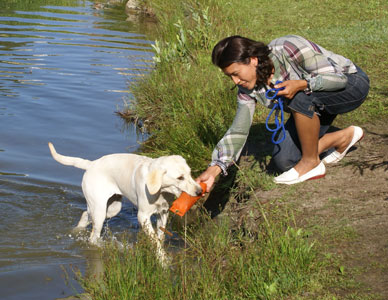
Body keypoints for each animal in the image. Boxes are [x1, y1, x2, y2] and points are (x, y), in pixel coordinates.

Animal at [47, 143, 203, 258]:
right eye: (180, 177)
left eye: (190, 173)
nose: (200, 191)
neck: (161, 191)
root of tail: (91, 164)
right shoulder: (143, 216)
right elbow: (154, 240)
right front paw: (162, 259)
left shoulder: (163, 213)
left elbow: (161, 237)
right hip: (100, 210)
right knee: (93, 236)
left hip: (112, 208)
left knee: (85, 215)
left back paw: (77, 230)